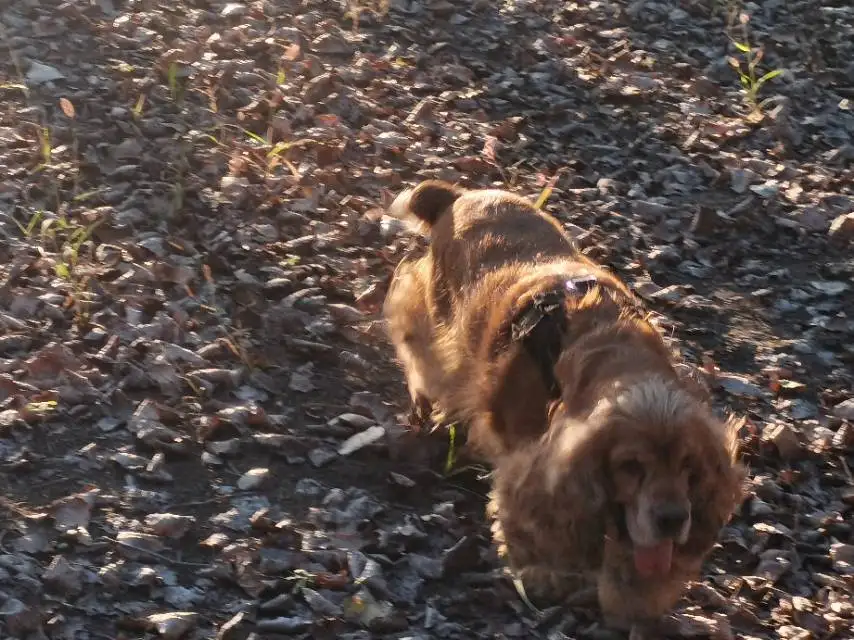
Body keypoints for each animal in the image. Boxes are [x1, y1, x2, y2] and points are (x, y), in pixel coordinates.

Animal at [384, 180, 744, 632]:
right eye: (630, 466)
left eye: (689, 465)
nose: (673, 520)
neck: (612, 353)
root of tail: (459, 195)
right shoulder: (531, 465)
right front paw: (543, 572)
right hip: (436, 317)